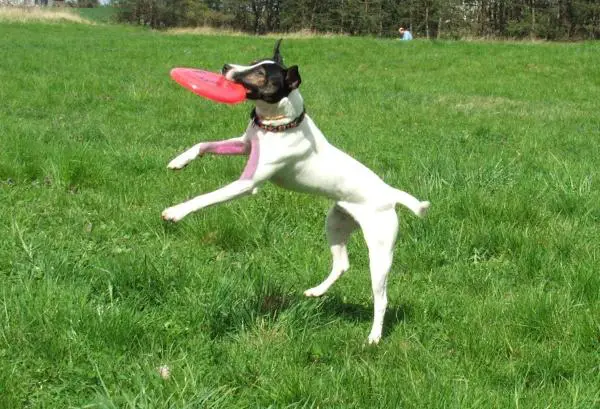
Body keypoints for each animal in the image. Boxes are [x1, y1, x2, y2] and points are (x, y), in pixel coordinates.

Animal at [162, 39, 428, 342]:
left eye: (261, 74)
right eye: (253, 62)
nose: (226, 66)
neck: (278, 125)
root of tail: (390, 193)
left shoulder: (247, 184)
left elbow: (206, 198)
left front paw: (175, 211)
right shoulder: (245, 144)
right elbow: (203, 144)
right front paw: (179, 161)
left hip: (380, 248)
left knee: (381, 298)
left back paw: (373, 337)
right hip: (337, 221)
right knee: (342, 264)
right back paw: (316, 291)